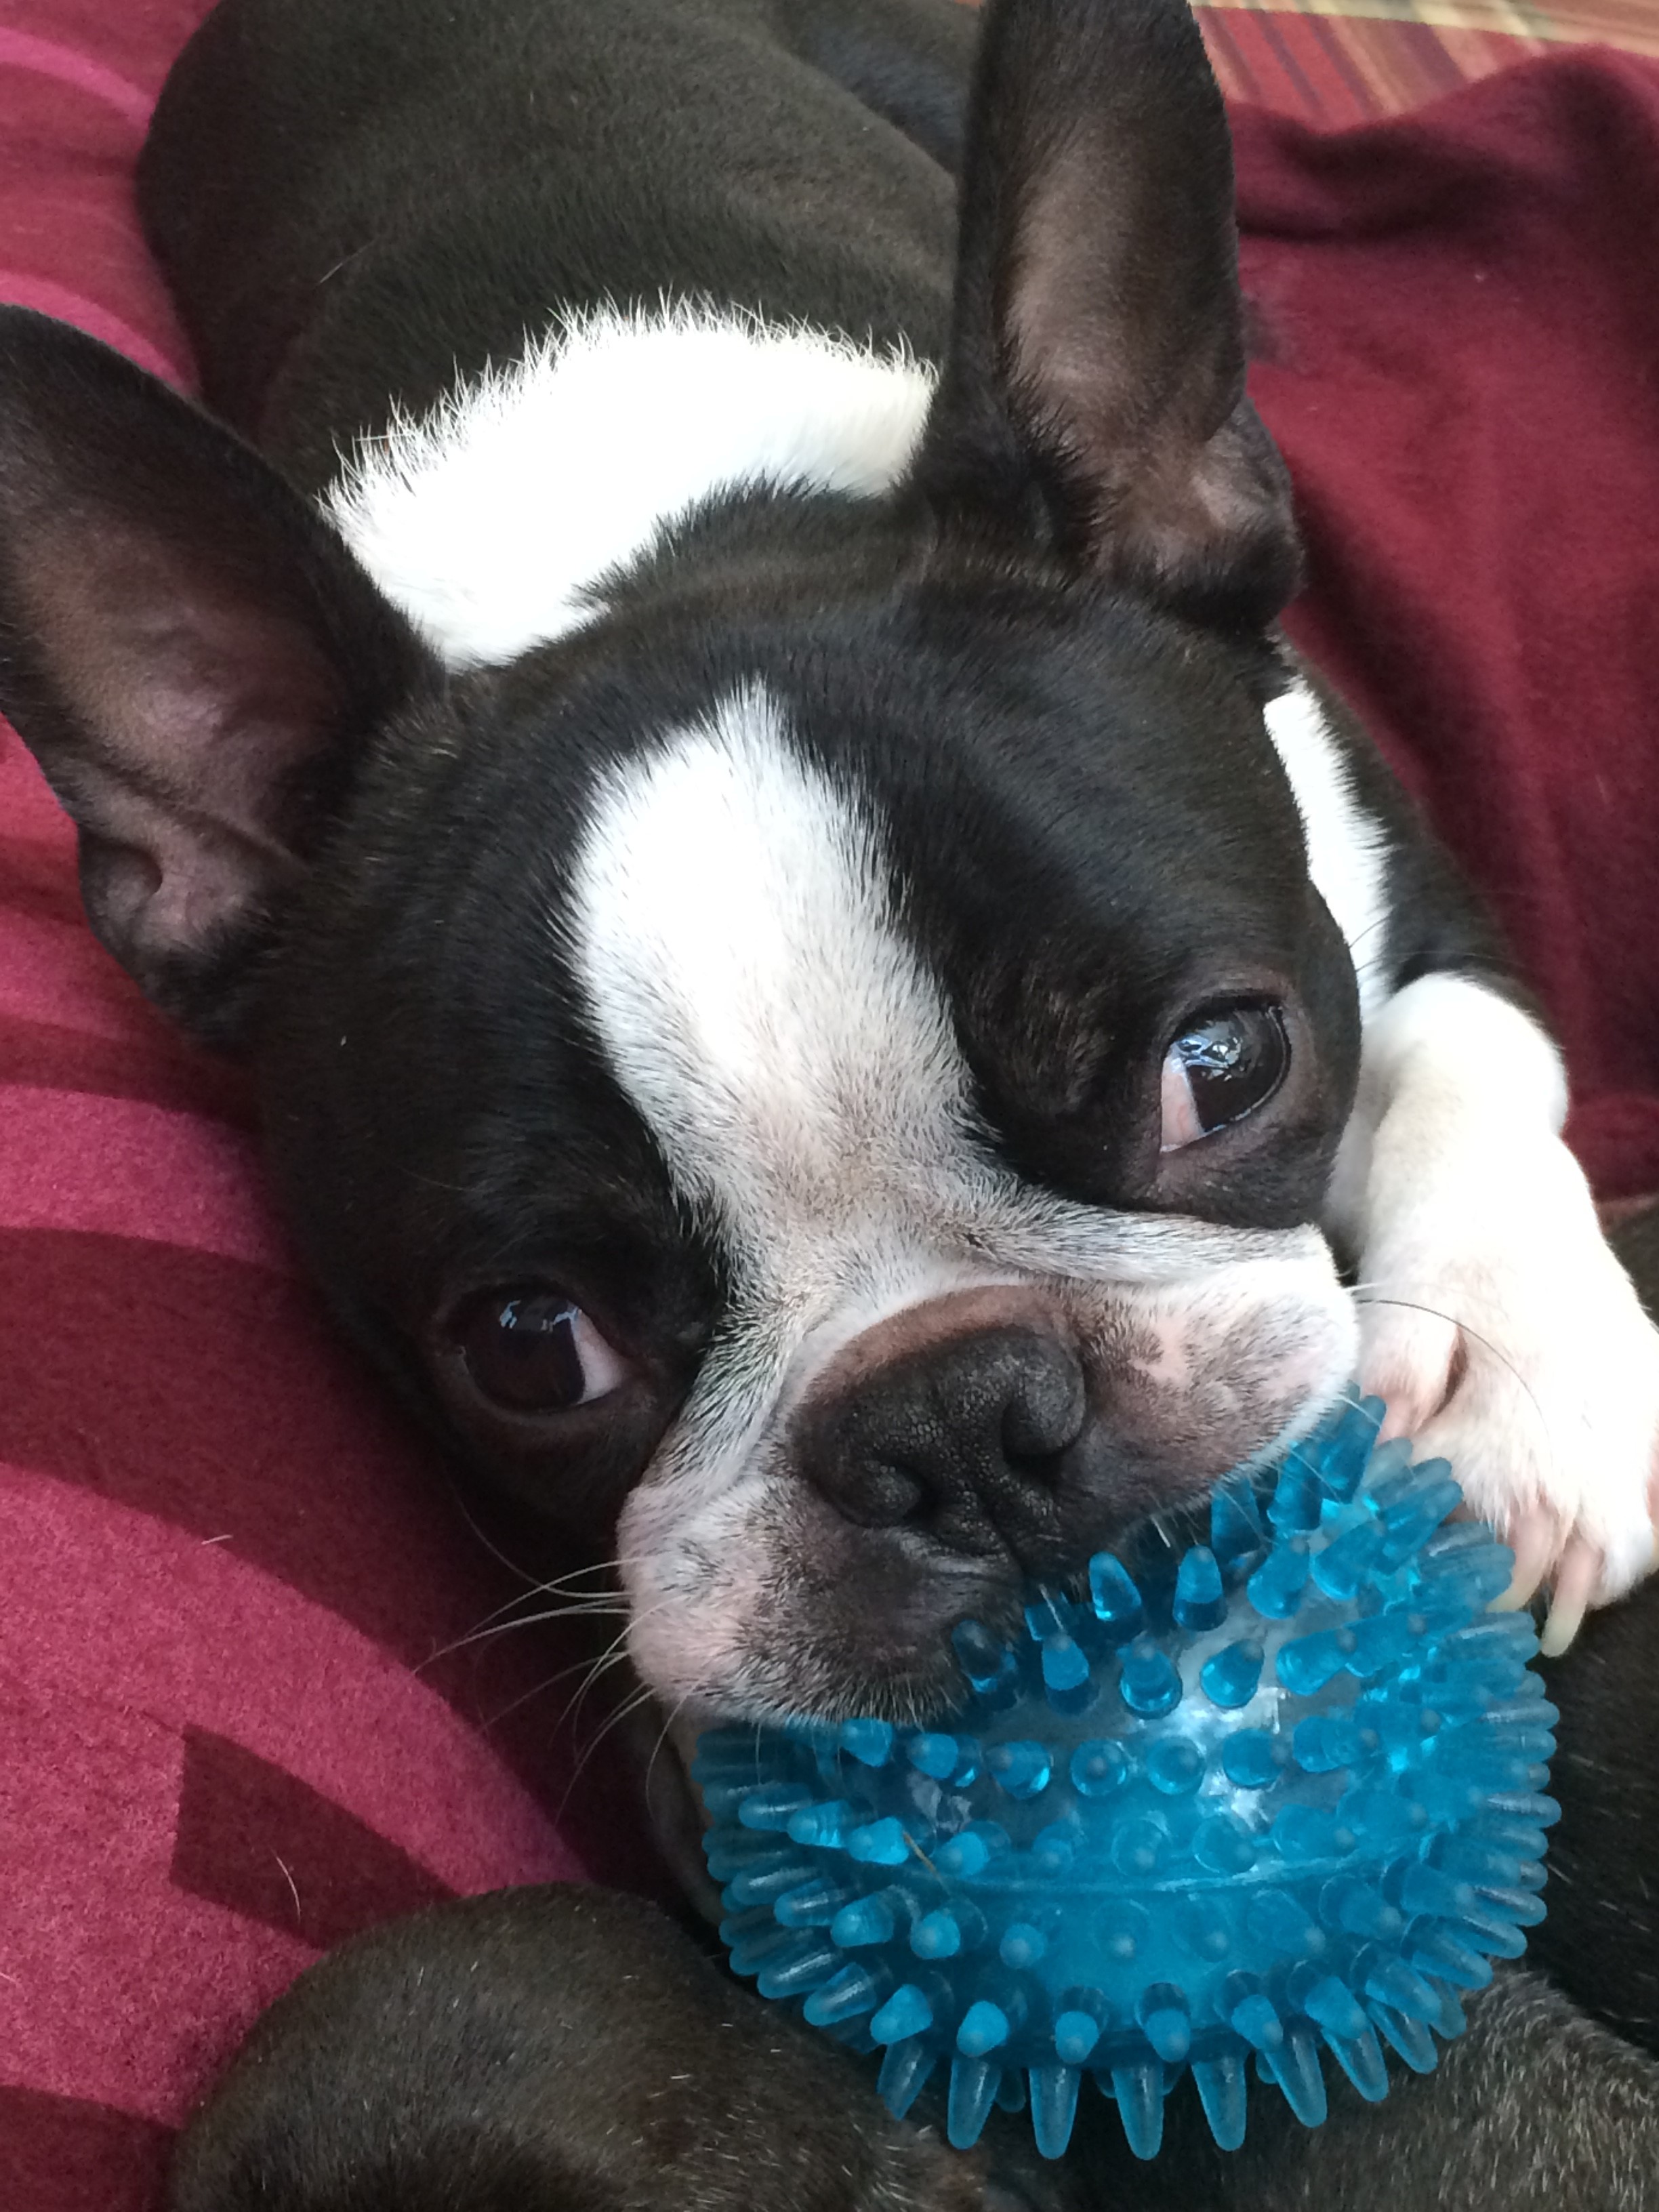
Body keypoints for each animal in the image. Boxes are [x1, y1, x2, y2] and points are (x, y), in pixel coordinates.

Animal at [3, 0, 1659, 2194]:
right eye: (528, 1345)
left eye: (1223, 1063)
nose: (959, 1416)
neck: (650, 547)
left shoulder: (1385, 843)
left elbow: (1468, 1050)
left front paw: (1507, 1370)